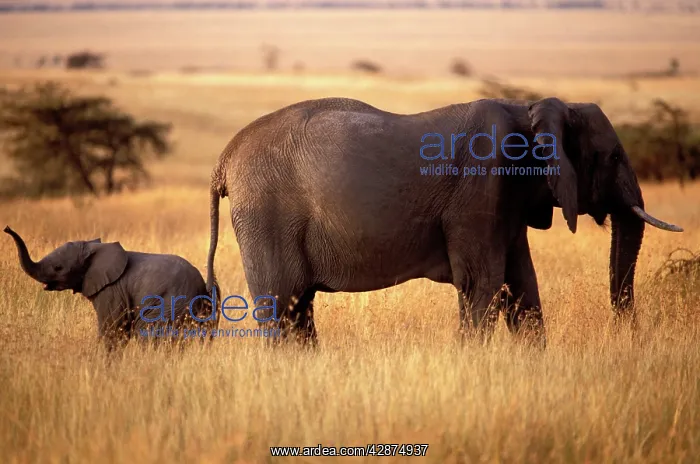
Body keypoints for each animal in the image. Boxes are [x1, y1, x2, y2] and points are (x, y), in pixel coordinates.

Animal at [4, 226, 220, 350]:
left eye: (58, 268)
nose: (6, 228)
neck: (93, 248)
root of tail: (202, 286)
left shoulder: (112, 291)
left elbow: (112, 330)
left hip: (171, 305)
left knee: (147, 333)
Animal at [205, 96, 682, 347]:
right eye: (614, 157)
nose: (628, 336)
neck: (532, 110)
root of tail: (224, 159)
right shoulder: (482, 187)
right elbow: (482, 282)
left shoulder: (505, 201)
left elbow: (521, 285)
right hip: (266, 215)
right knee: (282, 306)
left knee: (299, 309)